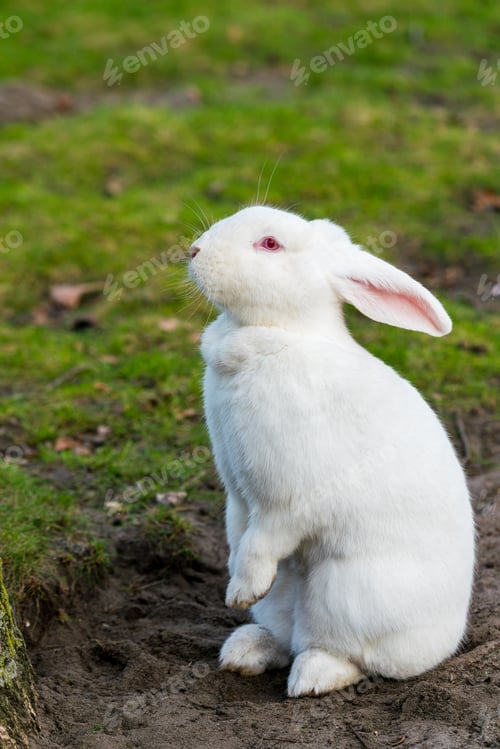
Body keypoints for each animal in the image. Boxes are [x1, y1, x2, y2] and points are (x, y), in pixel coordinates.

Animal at [188, 205, 475, 698]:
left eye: (270, 244)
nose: (193, 251)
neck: (280, 335)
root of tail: (447, 640)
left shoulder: (285, 503)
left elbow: (260, 544)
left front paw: (240, 592)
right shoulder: (239, 495)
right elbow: (238, 532)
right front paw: (233, 578)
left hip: (343, 593)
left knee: (350, 656)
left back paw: (312, 677)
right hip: (291, 595)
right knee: (286, 635)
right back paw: (244, 651)